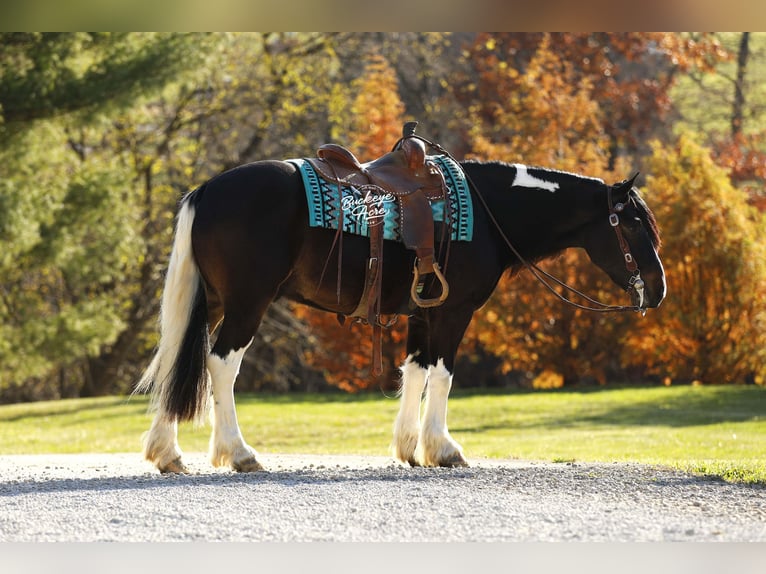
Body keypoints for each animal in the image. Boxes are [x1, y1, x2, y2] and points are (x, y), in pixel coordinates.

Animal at [136, 153, 666, 473]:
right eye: (632, 223)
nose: (658, 289)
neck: (488, 212)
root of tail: (208, 189)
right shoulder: (453, 313)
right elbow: (444, 376)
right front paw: (443, 448)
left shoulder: (421, 316)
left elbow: (415, 372)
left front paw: (411, 447)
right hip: (248, 304)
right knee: (221, 364)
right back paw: (240, 453)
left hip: (210, 302)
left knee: (176, 359)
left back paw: (168, 453)